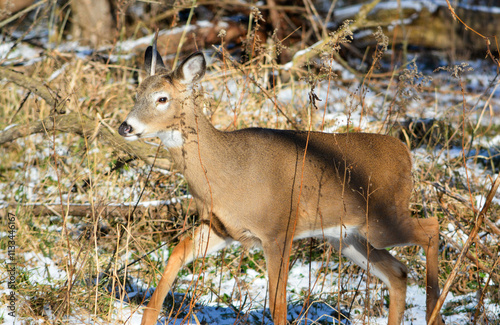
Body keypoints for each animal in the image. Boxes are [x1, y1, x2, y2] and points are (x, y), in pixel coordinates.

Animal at [118, 45, 446, 324]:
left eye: (162, 98)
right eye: (136, 94)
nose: (125, 126)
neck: (228, 173)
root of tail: (405, 152)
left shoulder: (277, 229)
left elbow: (277, 301)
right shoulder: (222, 228)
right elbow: (177, 253)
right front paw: (149, 316)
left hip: (381, 219)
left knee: (431, 228)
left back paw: (433, 310)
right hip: (347, 237)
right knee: (398, 271)